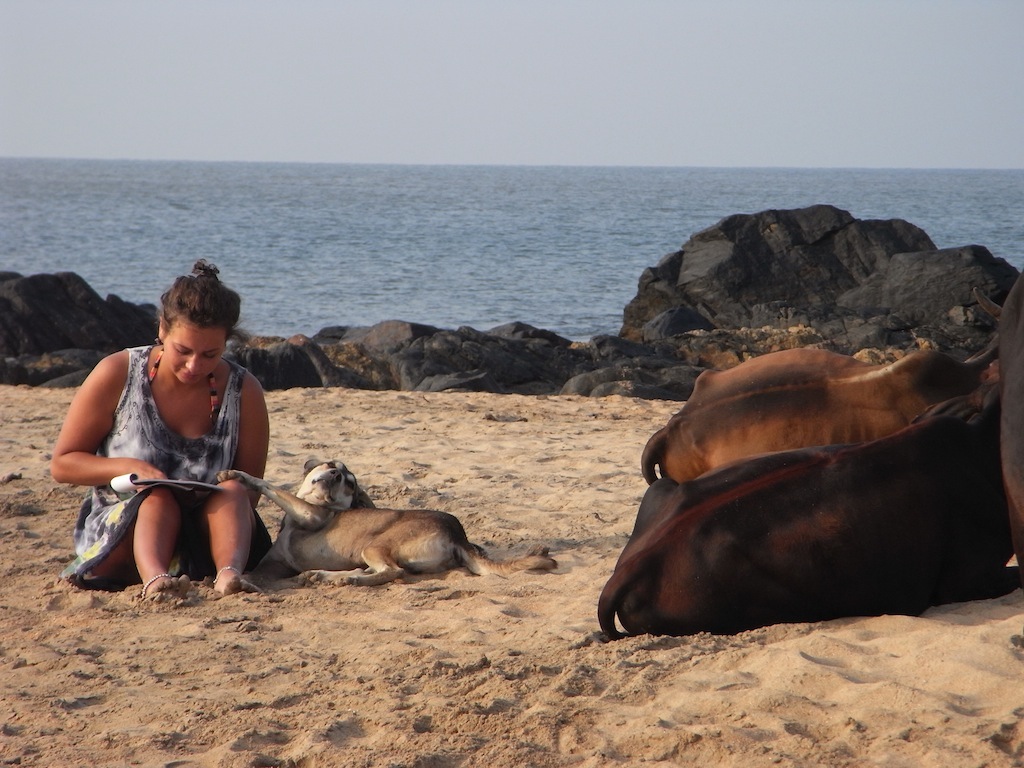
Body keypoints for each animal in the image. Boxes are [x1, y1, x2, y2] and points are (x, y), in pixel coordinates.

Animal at [214, 462, 552, 589]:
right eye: (332, 466)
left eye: (350, 483)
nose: (336, 474)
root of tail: (459, 534)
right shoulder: (274, 566)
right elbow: (256, 573)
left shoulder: (312, 514)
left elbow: (269, 485)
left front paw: (237, 475)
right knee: (374, 570)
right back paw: (327, 576)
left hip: (374, 545)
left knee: (392, 572)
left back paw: (347, 580)